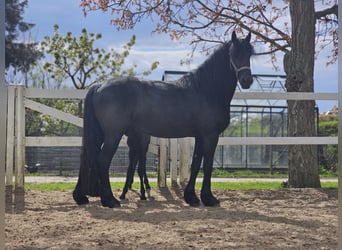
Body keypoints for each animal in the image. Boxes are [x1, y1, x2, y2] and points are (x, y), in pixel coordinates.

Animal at [72, 31, 254, 207]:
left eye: (249, 54)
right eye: (233, 53)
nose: (247, 80)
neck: (206, 90)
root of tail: (99, 86)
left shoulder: (200, 136)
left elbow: (196, 164)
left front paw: (191, 197)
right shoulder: (210, 135)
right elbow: (207, 165)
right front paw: (208, 198)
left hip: (101, 134)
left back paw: (84, 196)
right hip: (113, 135)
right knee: (103, 160)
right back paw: (110, 200)